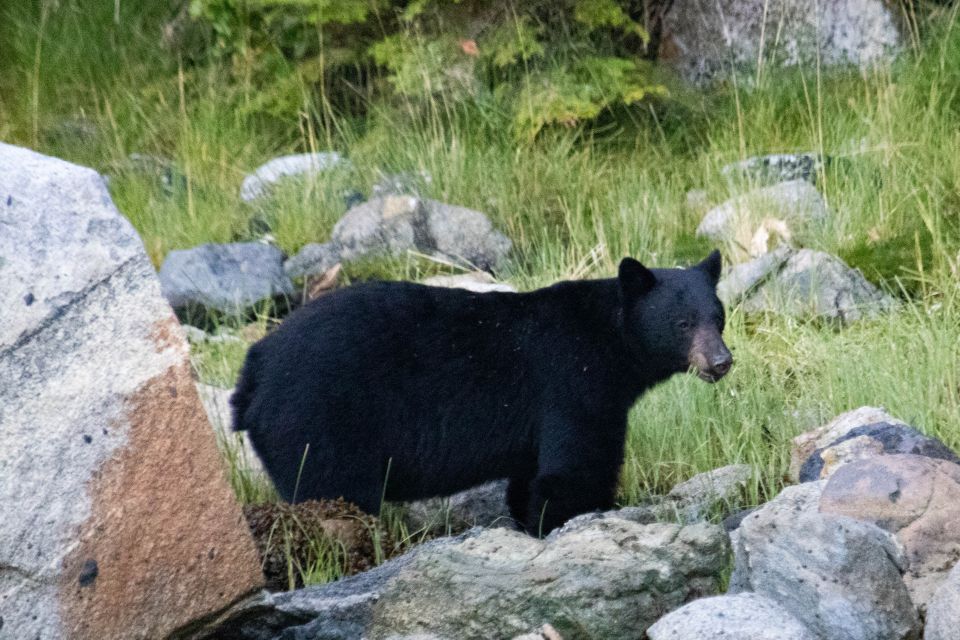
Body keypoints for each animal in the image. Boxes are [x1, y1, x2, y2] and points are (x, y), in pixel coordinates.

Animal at [232, 250, 736, 536]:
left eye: (718, 315)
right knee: (332, 488)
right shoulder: (573, 382)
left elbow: (529, 477)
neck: (610, 339)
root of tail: (253, 369)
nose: (721, 361)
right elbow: (576, 466)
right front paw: (568, 519)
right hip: (319, 419)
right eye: (682, 323)